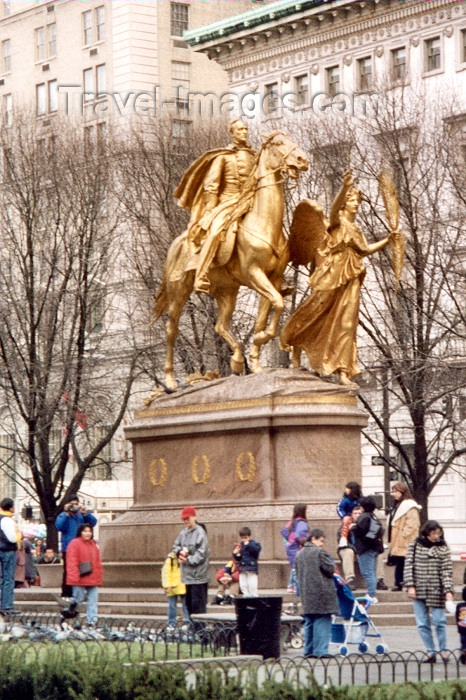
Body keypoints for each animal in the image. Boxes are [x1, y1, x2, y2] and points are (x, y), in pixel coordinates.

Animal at [153, 131, 310, 388]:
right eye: (279, 143)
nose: (302, 160)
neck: (264, 222)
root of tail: (175, 244)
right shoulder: (253, 273)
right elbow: (277, 304)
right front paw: (261, 341)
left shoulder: (273, 278)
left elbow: (268, 312)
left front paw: (255, 360)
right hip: (179, 291)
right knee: (170, 329)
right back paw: (170, 381)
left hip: (227, 291)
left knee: (220, 325)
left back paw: (236, 359)